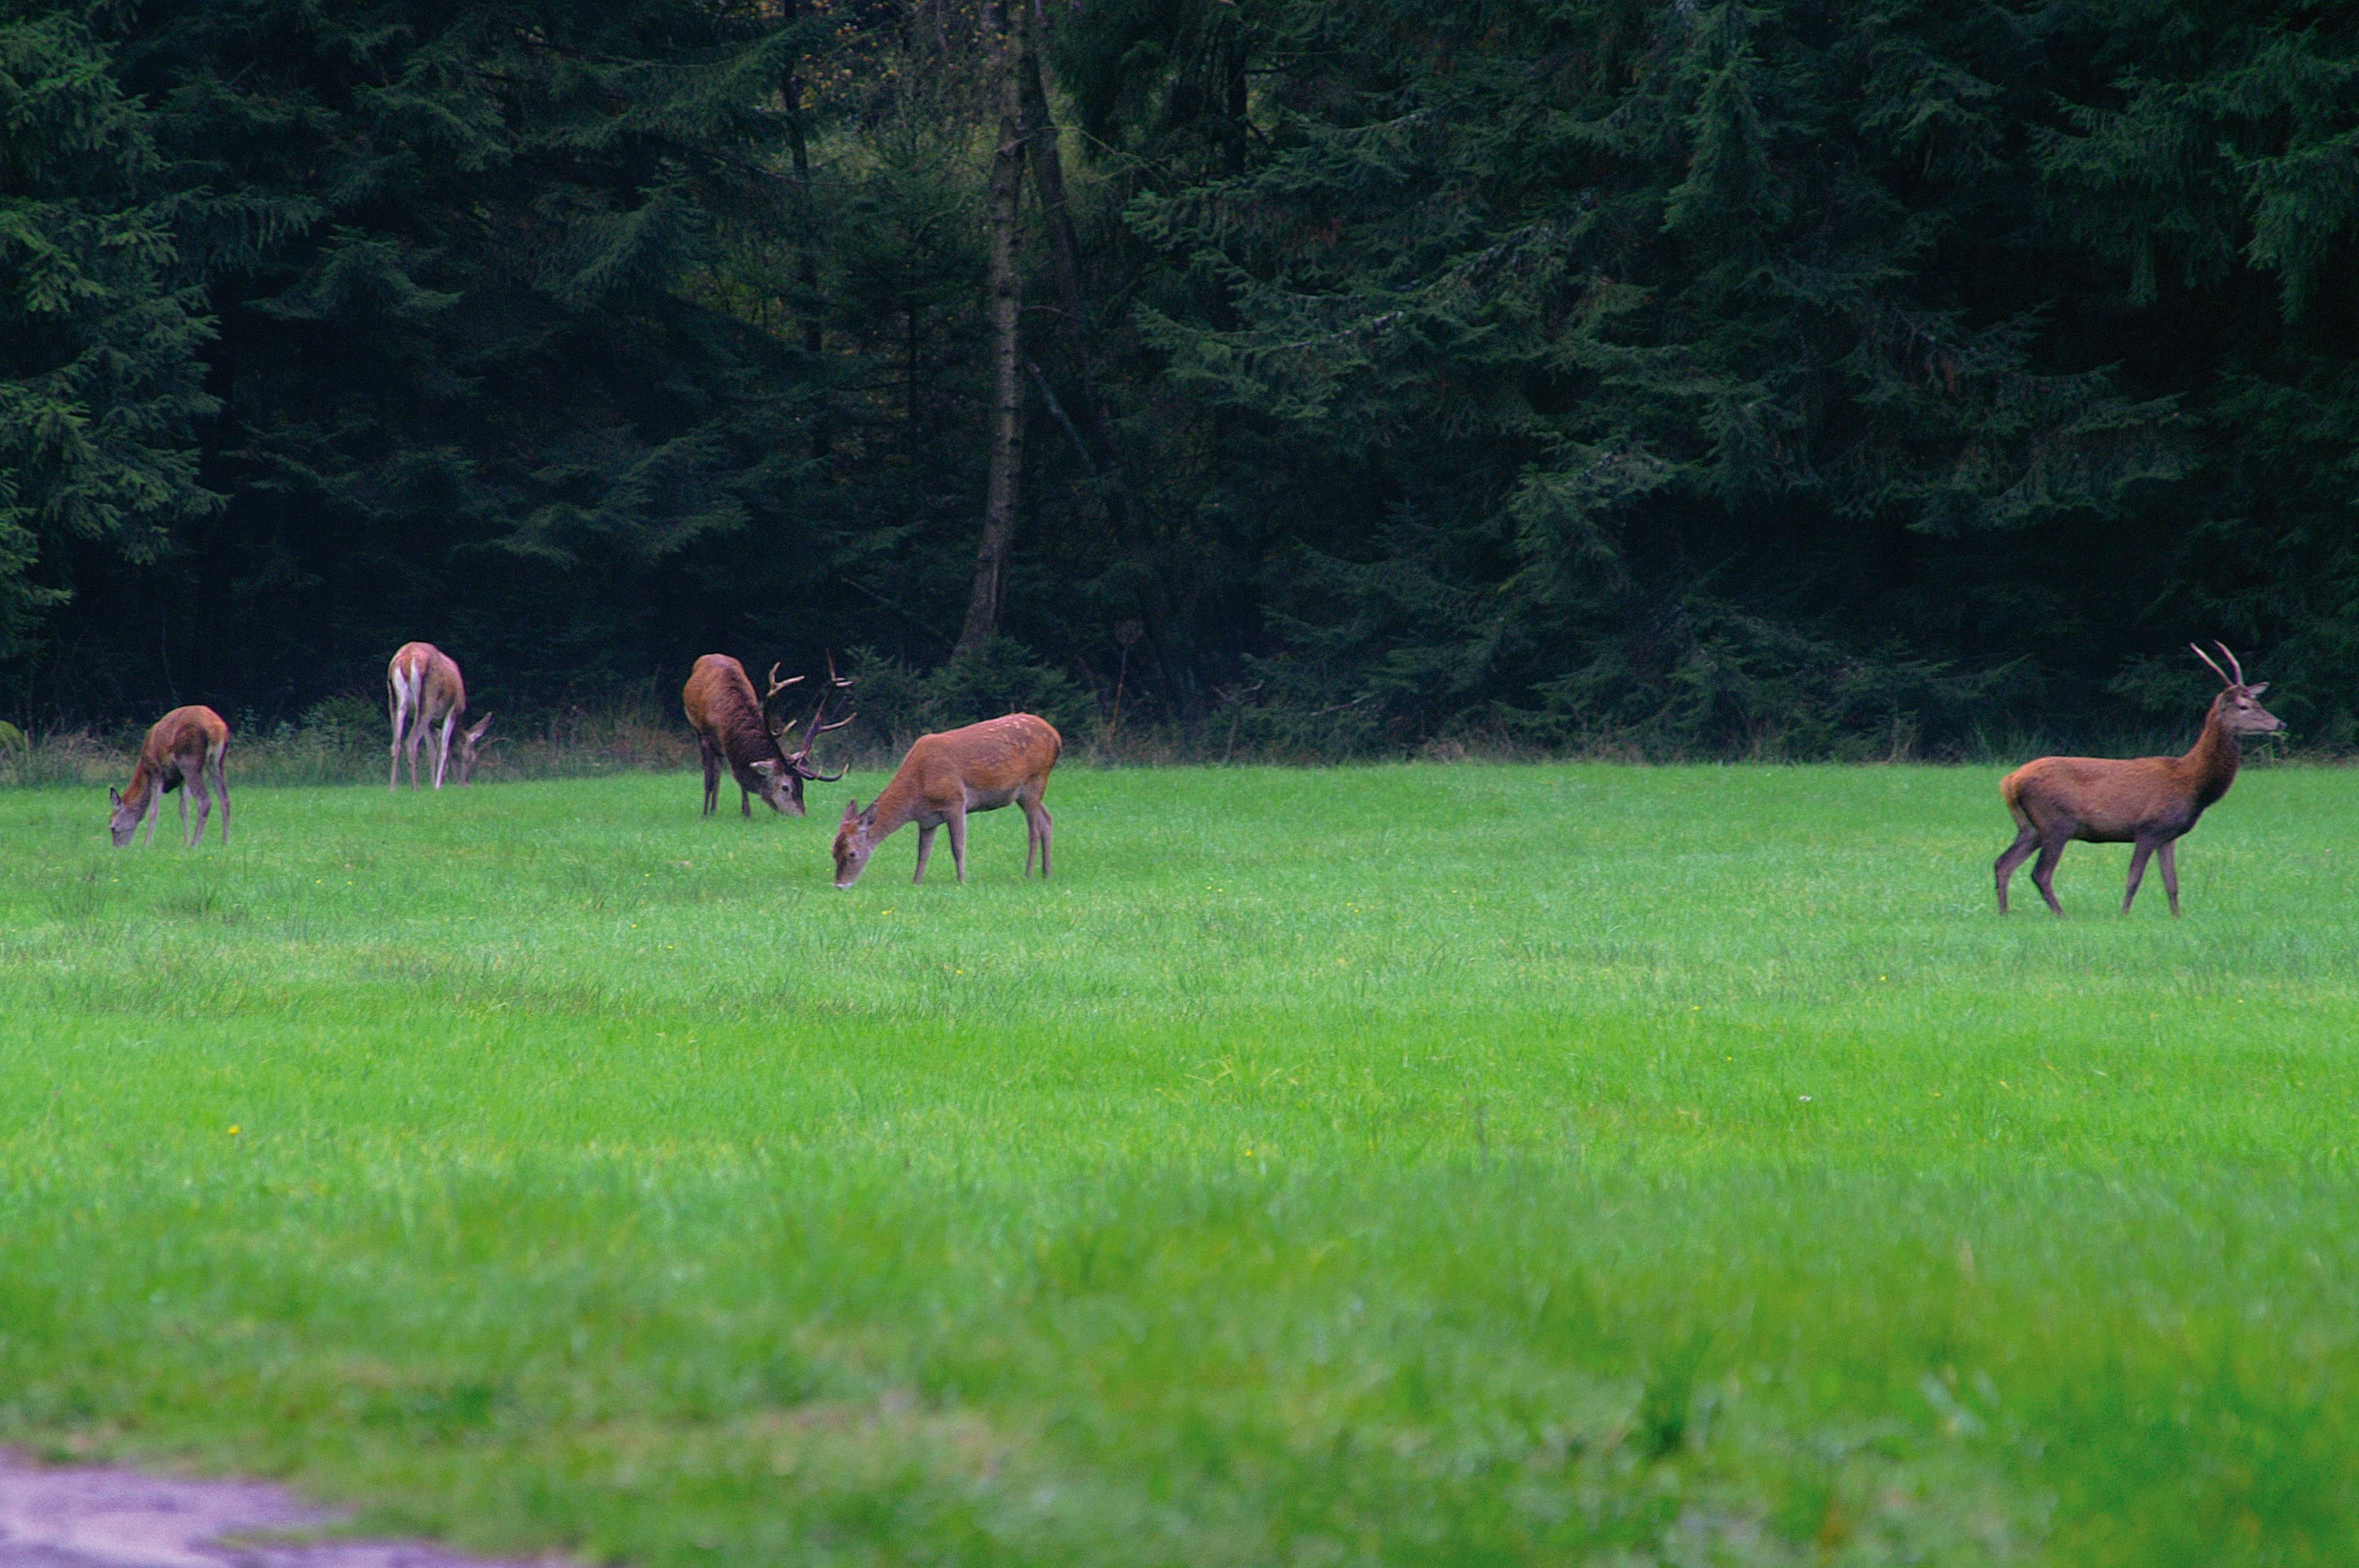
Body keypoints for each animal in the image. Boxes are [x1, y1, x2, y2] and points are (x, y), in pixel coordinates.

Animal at [108, 702, 230, 844]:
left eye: (112, 828)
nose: (117, 846)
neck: (145, 769)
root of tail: (217, 728)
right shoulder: (182, 779)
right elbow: (184, 808)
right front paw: (185, 842)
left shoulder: (157, 771)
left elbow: (154, 811)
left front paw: (146, 843)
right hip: (216, 761)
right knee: (225, 799)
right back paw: (225, 842)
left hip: (189, 760)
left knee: (205, 801)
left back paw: (196, 844)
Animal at [389, 641, 495, 787]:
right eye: (473, 758)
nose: (466, 784)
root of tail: (407, 659)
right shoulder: (452, 711)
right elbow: (444, 750)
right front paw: (438, 785)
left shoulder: (430, 722)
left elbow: (432, 752)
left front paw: (433, 784)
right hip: (427, 701)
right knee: (411, 742)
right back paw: (416, 788)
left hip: (395, 702)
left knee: (396, 743)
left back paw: (393, 788)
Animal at [679, 651, 853, 820]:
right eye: (785, 787)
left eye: (802, 785)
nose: (801, 816)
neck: (725, 719)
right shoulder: (706, 736)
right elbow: (709, 778)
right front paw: (705, 815)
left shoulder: (734, 750)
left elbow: (740, 780)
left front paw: (746, 813)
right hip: (697, 730)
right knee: (714, 770)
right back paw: (711, 810)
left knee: (719, 767)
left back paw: (715, 809)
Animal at [825, 712, 1056, 886]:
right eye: (833, 852)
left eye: (852, 854)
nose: (840, 885)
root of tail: (1056, 736)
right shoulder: (927, 819)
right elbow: (923, 852)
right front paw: (916, 882)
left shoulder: (955, 801)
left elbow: (958, 846)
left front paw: (962, 881)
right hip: (1023, 793)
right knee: (1047, 819)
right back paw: (1046, 873)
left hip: (1035, 780)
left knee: (1034, 830)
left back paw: (1028, 874)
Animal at [1990, 641, 2283, 919]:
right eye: (2244, 707)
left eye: (2259, 703)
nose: (2280, 724)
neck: (2193, 784)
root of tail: (2009, 781)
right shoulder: (2147, 828)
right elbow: (2134, 879)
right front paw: (2123, 915)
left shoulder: (2168, 835)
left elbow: (2172, 883)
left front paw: (2177, 917)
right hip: (2057, 823)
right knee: (2040, 873)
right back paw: (2062, 915)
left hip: (2031, 827)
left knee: (2003, 863)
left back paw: (2005, 913)